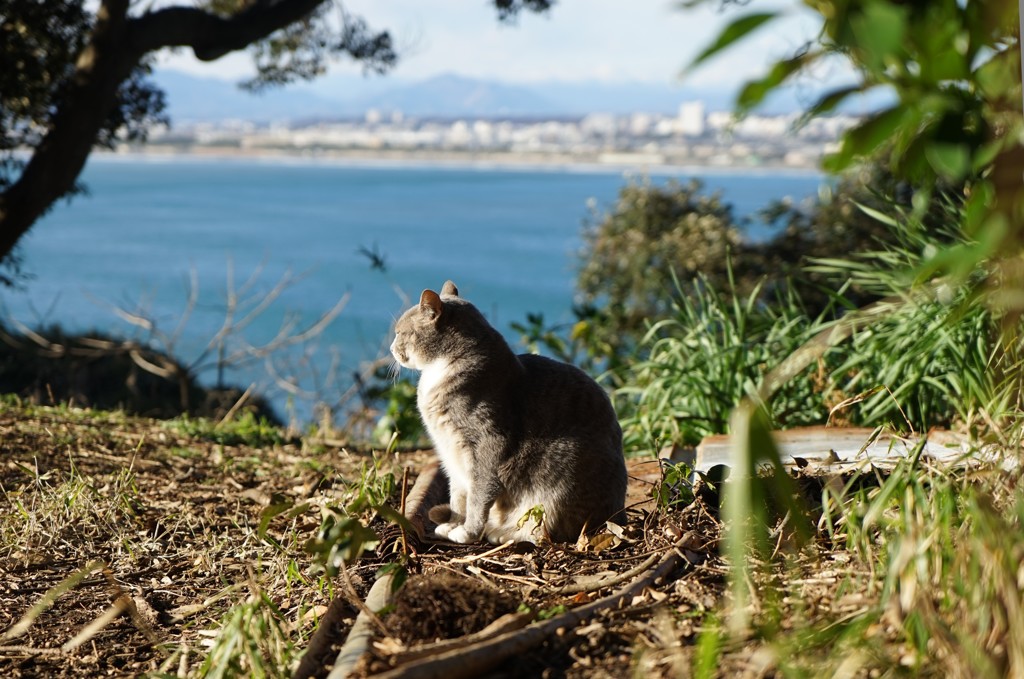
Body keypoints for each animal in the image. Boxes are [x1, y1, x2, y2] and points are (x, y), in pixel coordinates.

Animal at [387, 278, 622, 544]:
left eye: (400, 332)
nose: (391, 348)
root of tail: (618, 514)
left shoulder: (487, 445)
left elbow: (478, 496)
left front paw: (469, 531)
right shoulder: (450, 455)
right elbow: (458, 495)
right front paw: (454, 523)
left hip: (563, 476)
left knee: (546, 531)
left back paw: (501, 533)